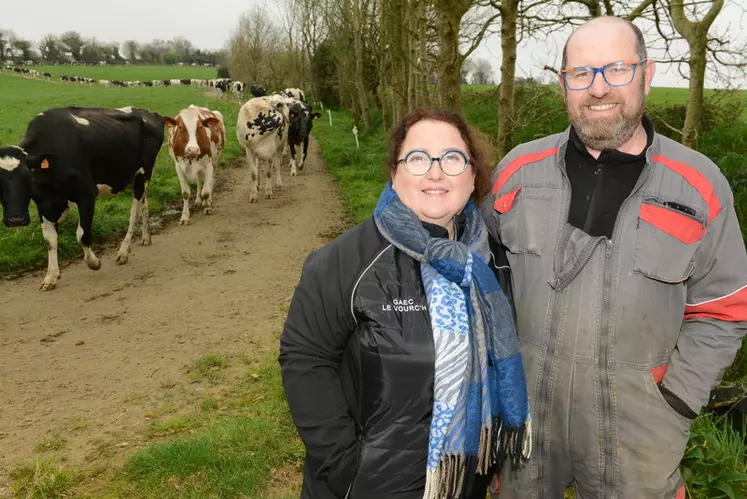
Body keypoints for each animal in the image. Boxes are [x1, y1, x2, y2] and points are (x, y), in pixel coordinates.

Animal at [0, 107, 165, 292]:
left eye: (28, 176)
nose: (16, 219)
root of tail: (148, 112)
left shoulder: (87, 194)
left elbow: (82, 234)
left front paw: (94, 262)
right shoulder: (43, 204)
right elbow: (50, 240)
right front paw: (51, 276)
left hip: (143, 174)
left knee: (134, 212)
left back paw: (123, 251)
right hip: (134, 180)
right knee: (144, 203)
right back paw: (146, 237)